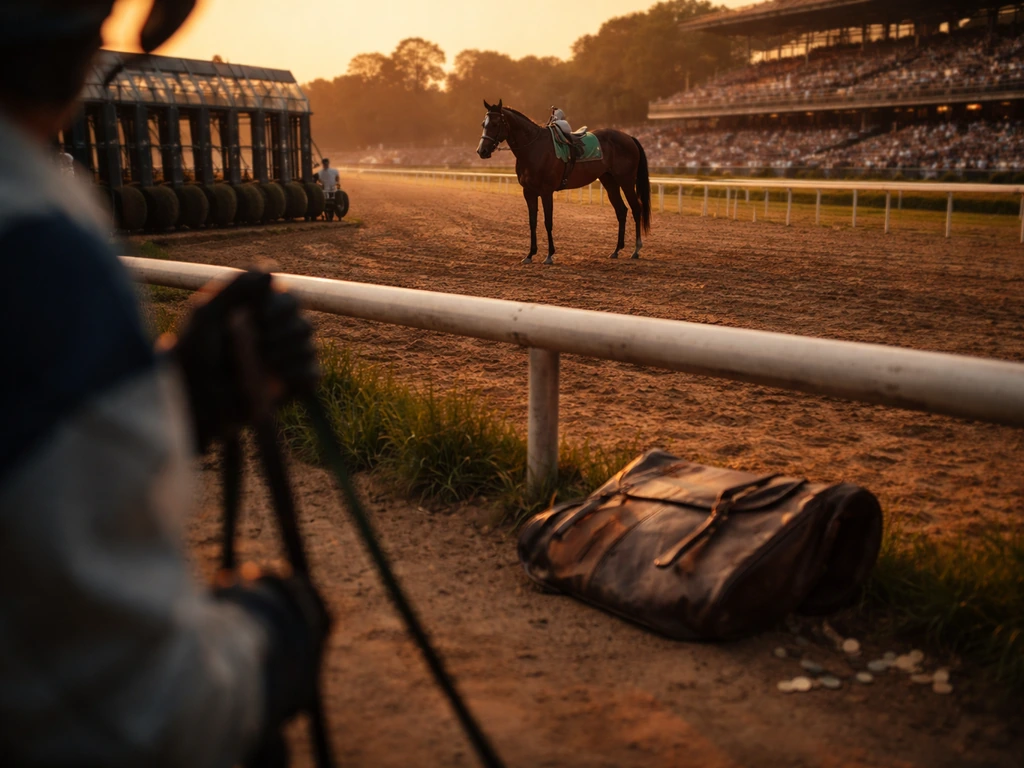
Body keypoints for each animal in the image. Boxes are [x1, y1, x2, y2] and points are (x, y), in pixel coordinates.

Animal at [476, 99, 651, 264]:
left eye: (495, 124)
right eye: (483, 124)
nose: (481, 151)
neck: (534, 148)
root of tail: (628, 137)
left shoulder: (546, 191)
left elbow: (548, 221)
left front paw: (549, 255)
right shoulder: (529, 192)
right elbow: (532, 222)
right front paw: (530, 255)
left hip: (626, 181)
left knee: (636, 209)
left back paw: (636, 250)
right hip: (609, 182)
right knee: (621, 210)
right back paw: (616, 250)